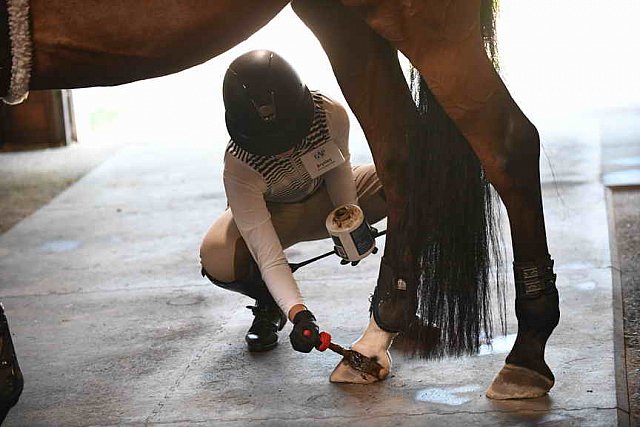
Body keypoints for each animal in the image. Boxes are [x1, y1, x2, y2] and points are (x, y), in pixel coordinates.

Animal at [0, 0, 556, 410]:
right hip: (347, 19)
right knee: (403, 152)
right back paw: (371, 343)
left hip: (418, 19)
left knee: (506, 143)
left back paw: (525, 355)